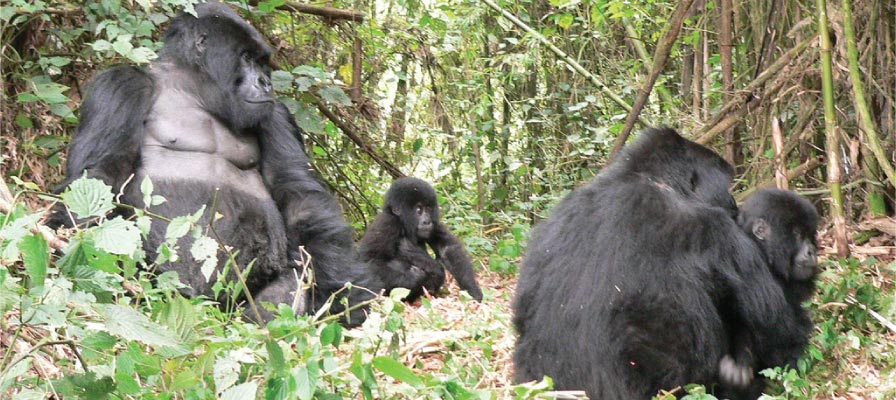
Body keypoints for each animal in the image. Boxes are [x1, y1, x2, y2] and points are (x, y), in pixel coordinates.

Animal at [49, 2, 372, 324]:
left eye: (262, 63)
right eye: (246, 58)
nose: (266, 82)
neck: (193, 91)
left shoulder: (275, 113)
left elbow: (298, 193)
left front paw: (340, 293)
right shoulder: (121, 85)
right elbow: (99, 175)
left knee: (289, 286)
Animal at [356, 177, 484, 302]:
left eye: (428, 209)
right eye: (419, 210)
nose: (427, 221)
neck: (403, 223)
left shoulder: (435, 224)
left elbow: (448, 248)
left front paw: (472, 290)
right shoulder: (386, 223)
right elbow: (370, 261)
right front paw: (415, 276)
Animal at [508, 129, 808, 400]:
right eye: (725, 188)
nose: (734, 205)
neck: (648, 178)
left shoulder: (552, 223)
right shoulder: (716, 230)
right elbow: (776, 328)